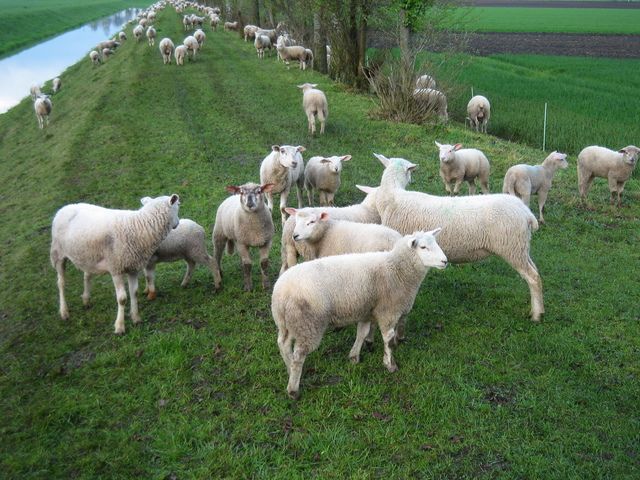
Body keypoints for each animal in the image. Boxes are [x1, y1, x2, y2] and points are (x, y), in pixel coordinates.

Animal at [50, 194, 180, 334]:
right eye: (178, 205)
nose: (178, 223)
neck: (138, 226)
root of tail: (64, 208)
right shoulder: (116, 268)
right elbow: (122, 299)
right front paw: (120, 326)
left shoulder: (133, 268)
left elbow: (134, 292)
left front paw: (136, 318)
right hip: (58, 254)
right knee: (61, 283)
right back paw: (64, 312)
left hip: (88, 255)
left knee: (87, 275)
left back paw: (86, 299)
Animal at [272, 229, 447, 399]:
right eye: (423, 247)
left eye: (436, 243)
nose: (445, 261)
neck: (396, 269)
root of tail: (282, 291)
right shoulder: (388, 312)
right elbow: (389, 341)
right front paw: (390, 365)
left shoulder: (366, 310)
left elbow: (361, 333)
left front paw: (354, 357)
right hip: (307, 324)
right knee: (298, 356)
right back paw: (293, 389)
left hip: (288, 322)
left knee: (283, 343)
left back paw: (288, 368)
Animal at [373, 153, 544, 321]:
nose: (412, 180)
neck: (393, 196)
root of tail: (526, 212)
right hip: (521, 247)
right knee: (536, 272)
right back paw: (540, 309)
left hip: (512, 247)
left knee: (533, 277)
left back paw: (536, 315)